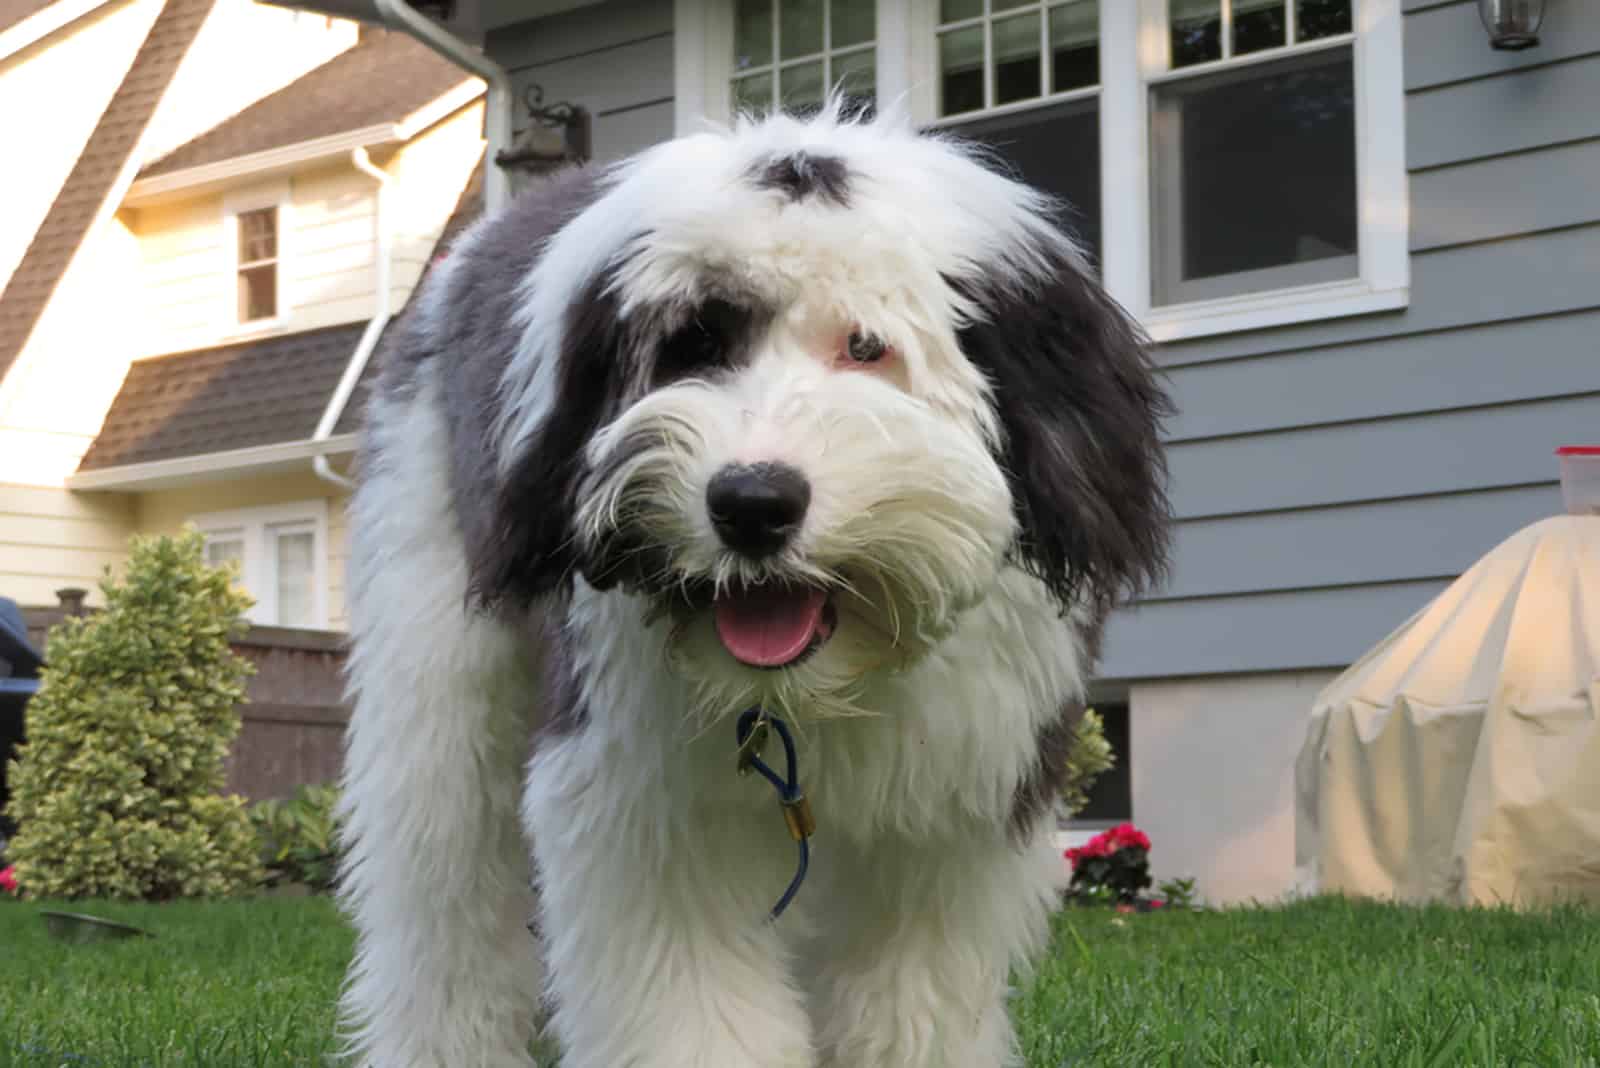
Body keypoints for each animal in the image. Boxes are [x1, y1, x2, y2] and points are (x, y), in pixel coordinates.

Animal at [337, 106, 1171, 1068]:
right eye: (693, 345)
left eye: (867, 346)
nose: (752, 504)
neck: (826, 686)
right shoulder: (643, 801)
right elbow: (687, 1000)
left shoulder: (952, 817)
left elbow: (909, 992)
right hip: (436, 660)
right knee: (442, 884)